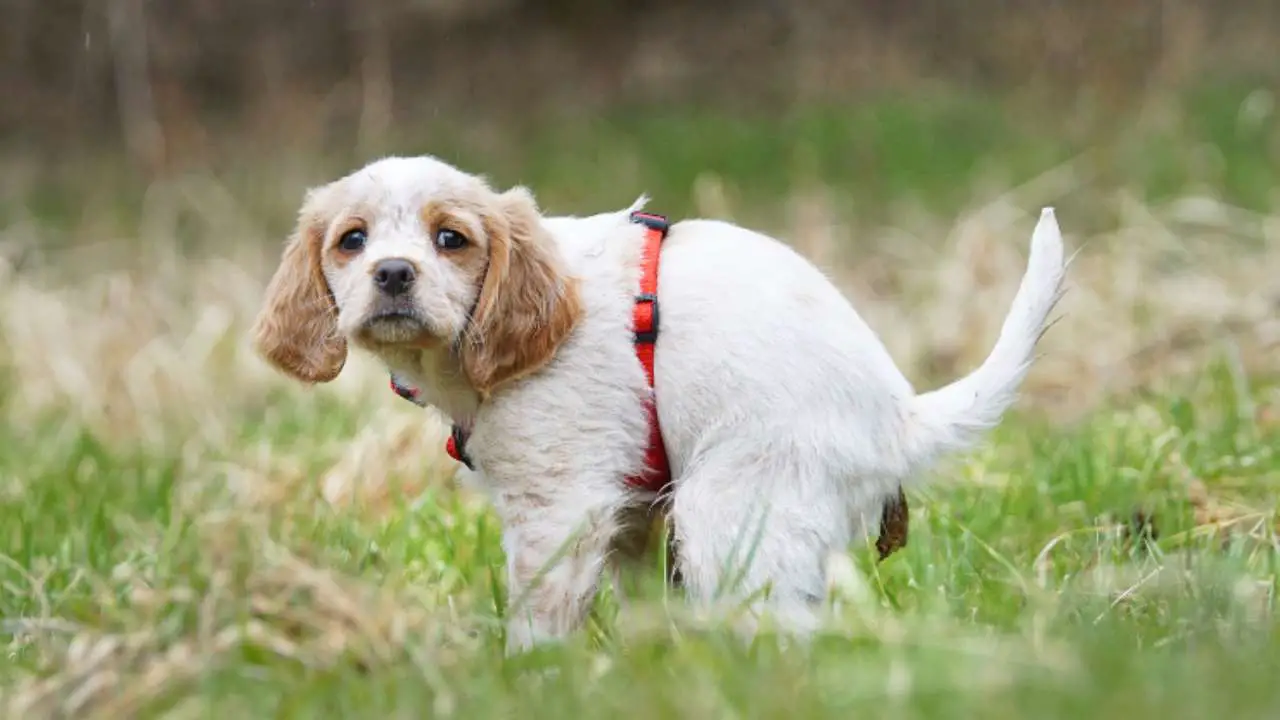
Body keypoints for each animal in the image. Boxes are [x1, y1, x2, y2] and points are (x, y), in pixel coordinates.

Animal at [252, 152, 1070, 650]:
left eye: (450, 239)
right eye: (352, 240)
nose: (392, 273)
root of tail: (898, 416)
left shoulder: (559, 503)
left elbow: (540, 611)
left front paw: (529, 676)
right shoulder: (633, 512)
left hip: (733, 512)